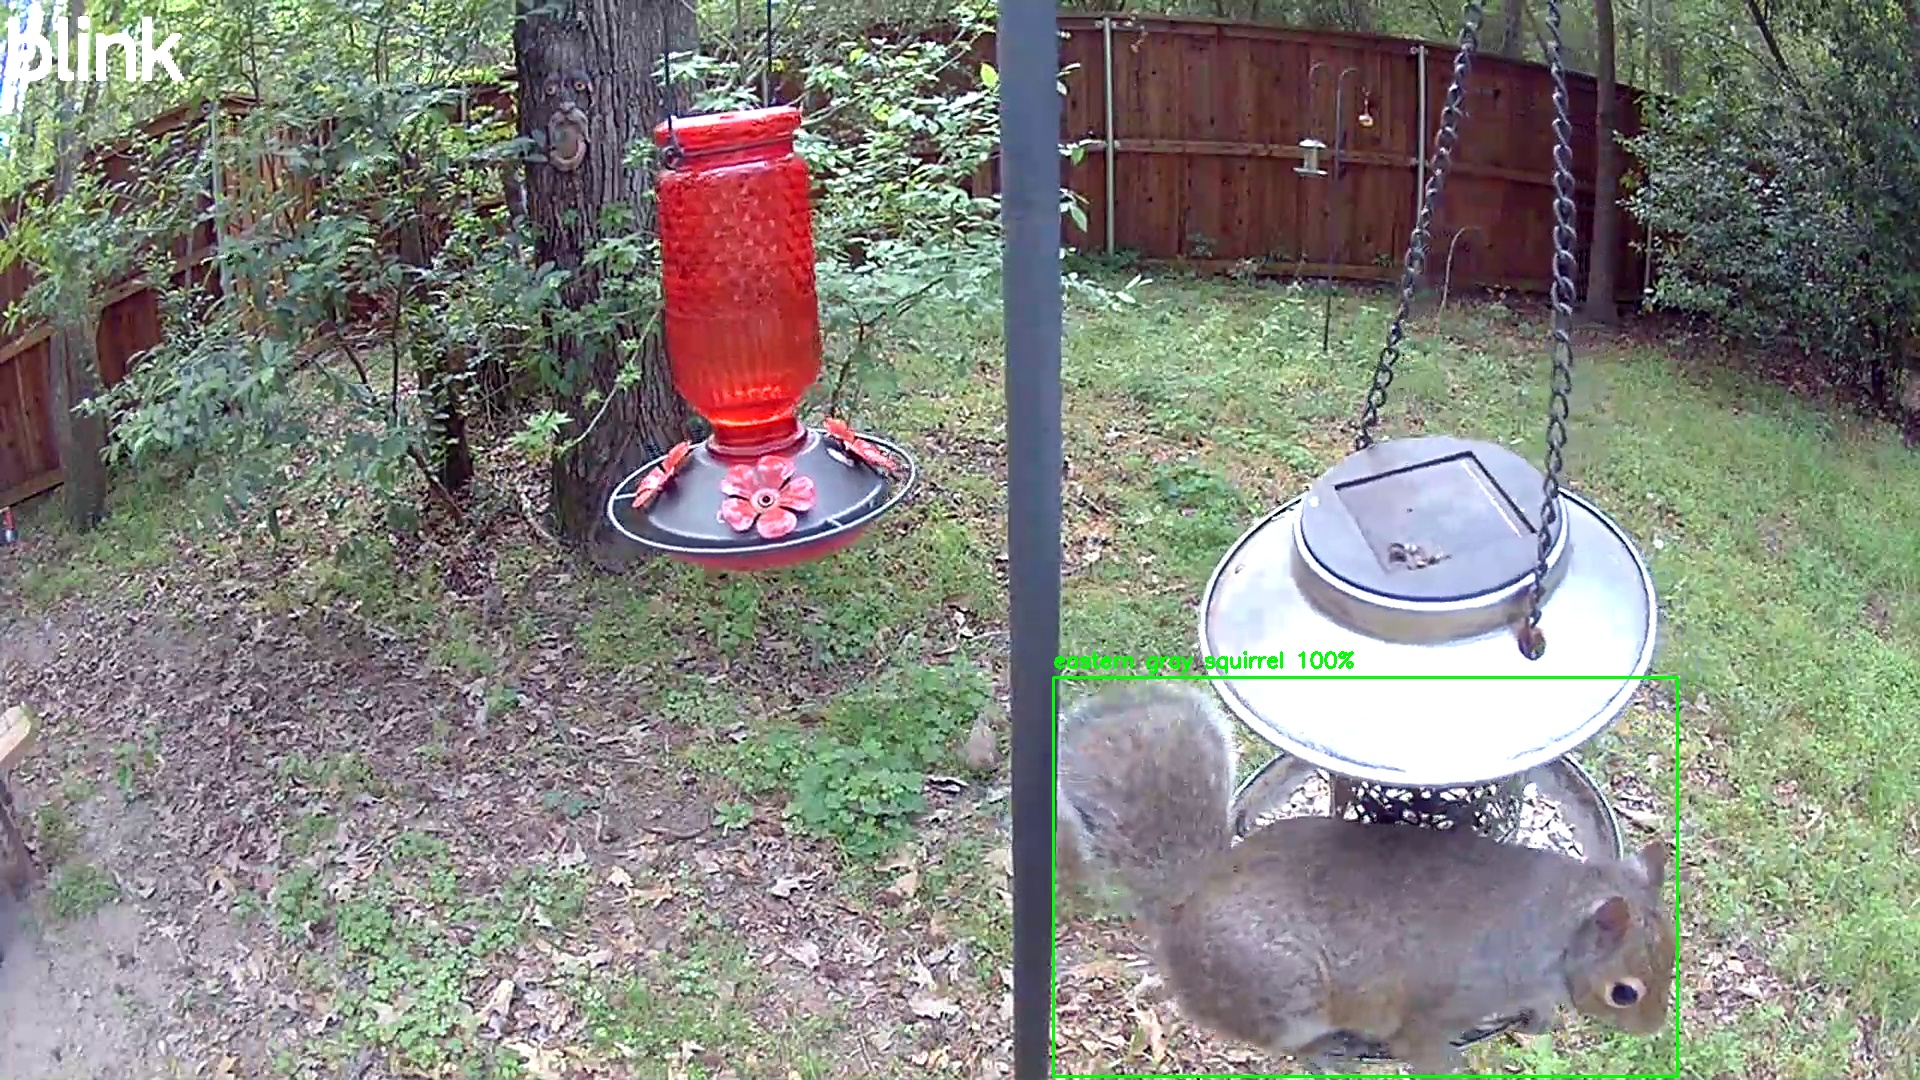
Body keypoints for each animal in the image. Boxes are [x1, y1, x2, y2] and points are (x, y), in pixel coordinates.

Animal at [1056, 681, 1675, 1076]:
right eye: (1624, 992)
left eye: (1673, 955)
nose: (1654, 1031)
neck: (1552, 928)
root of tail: (1187, 908)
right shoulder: (1446, 998)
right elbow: (1422, 1043)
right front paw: (1451, 1066)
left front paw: (1542, 1020)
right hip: (1286, 994)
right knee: (1285, 1042)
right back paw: (1326, 1051)